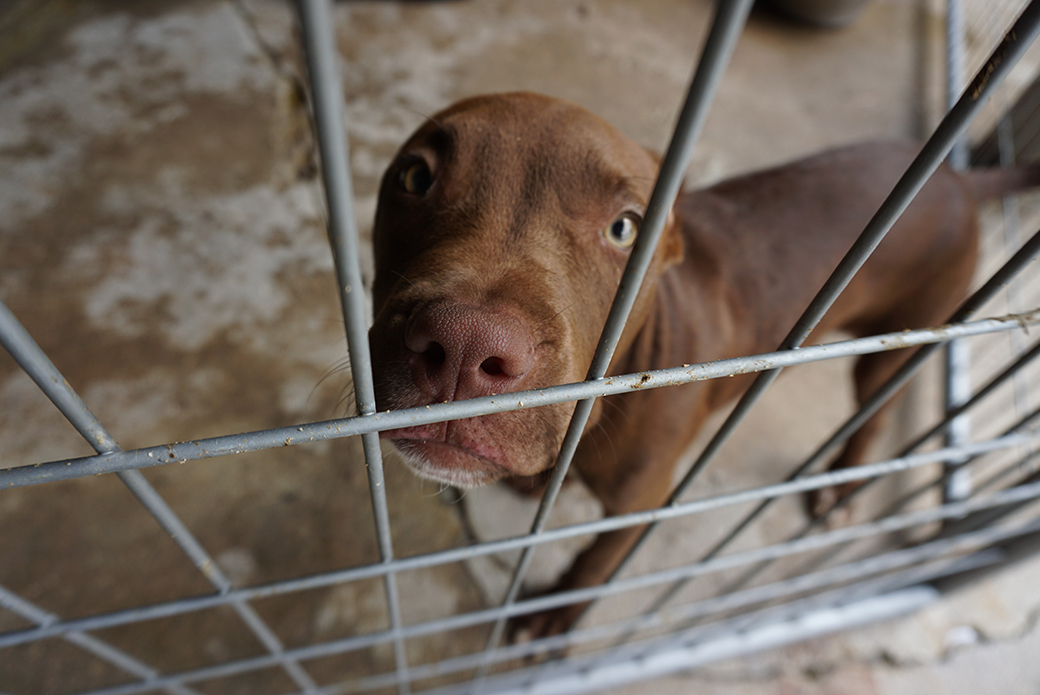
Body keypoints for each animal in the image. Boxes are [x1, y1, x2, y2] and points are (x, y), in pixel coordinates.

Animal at [368, 91, 1031, 640]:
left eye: (625, 229)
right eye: (416, 176)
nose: (464, 346)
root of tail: (957, 179)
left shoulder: (644, 500)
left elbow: (597, 561)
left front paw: (555, 615)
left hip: (906, 331)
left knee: (876, 407)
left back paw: (841, 485)